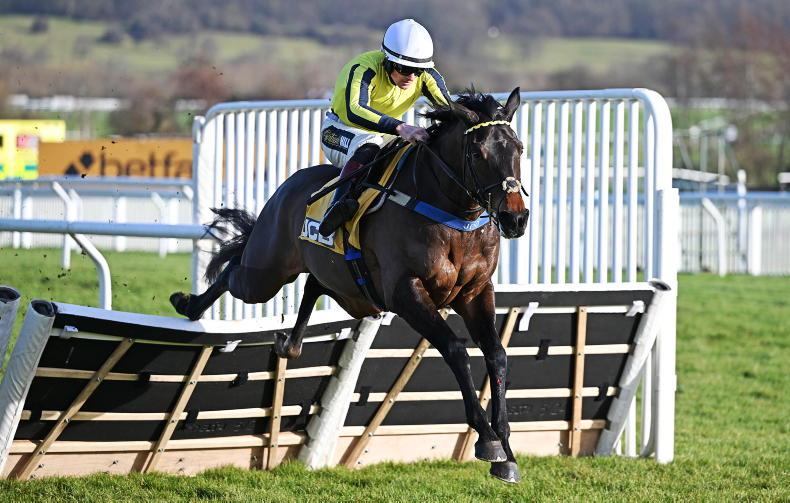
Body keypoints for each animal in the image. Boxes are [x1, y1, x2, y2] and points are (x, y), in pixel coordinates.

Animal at [170, 88, 529, 483]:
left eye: (519, 148)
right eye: (479, 153)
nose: (515, 218)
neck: (450, 214)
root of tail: (288, 187)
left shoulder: (475, 292)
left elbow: (497, 354)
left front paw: (507, 453)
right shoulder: (406, 292)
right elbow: (455, 349)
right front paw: (488, 440)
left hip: (350, 291)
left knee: (313, 285)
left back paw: (290, 344)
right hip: (266, 273)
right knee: (234, 270)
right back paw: (189, 304)